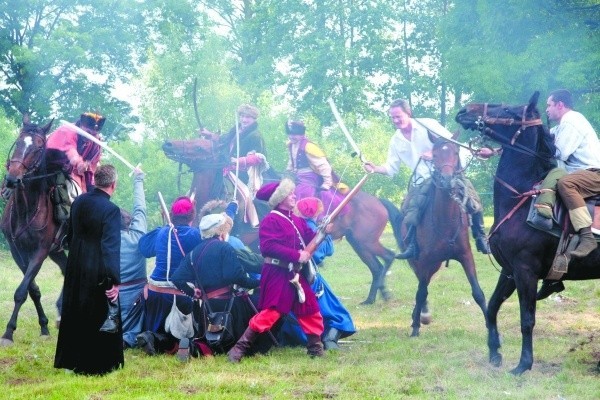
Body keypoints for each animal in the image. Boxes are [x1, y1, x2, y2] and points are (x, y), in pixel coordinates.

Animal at [0, 115, 67, 344]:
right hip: (57, 252)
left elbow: (21, 291)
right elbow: (33, 289)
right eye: (18, 142)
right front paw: (44, 326)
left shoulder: (40, 251)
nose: (12, 179)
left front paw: (8, 332)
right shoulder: (17, 250)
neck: (27, 209)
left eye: (38, 147)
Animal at [163, 138, 398, 304]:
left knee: (385, 258)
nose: (168, 144)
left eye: (201, 147)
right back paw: (376, 296)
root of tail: (376, 201)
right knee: (379, 264)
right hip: (358, 242)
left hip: (365, 241)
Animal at [384, 138, 488, 338]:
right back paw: (419, 316)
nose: (447, 180)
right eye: (435, 154)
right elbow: (421, 292)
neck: (445, 219)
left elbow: (478, 292)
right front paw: (416, 327)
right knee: (421, 287)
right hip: (419, 262)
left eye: (455, 152)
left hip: (435, 264)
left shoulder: (466, 256)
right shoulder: (425, 260)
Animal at [454, 91, 600, 376]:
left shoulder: (525, 271)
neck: (521, 198)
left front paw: (523, 364)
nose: (465, 110)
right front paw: (495, 353)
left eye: (508, 110)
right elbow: (491, 307)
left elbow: (527, 320)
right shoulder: (509, 270)